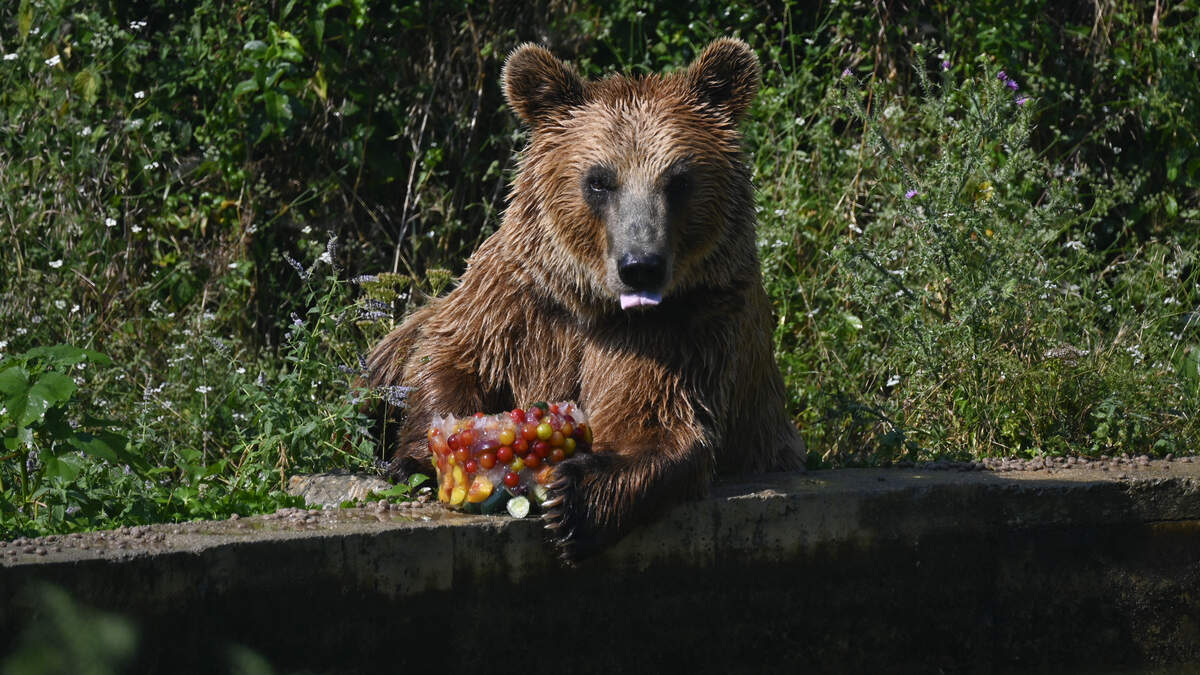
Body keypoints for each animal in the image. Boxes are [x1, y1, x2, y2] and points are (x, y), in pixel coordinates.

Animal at [360, 39, 801, 559]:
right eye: (599, 180)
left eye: (678, 180)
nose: (640, 264)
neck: (592, 302)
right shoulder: (518, 302)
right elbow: (451, 360)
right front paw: (420, 458)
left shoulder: (685, 326)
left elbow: (657, 415)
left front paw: (575, 498)